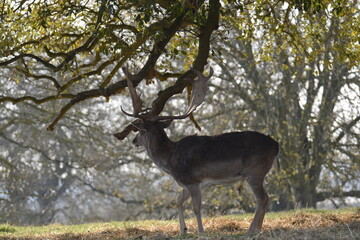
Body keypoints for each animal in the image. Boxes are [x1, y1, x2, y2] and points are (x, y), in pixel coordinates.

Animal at [114, 65, 278, 234]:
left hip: (255, 172)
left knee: (263, 198)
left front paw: (201, 231)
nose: (134, 141)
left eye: (139, 130)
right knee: (264, 199)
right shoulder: (186, 185)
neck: (170, 160)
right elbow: (178, 201)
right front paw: (183, 230)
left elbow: (196, 208)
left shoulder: (193, 181)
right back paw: (256, 229)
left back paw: (252, 230)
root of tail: (276, 145)